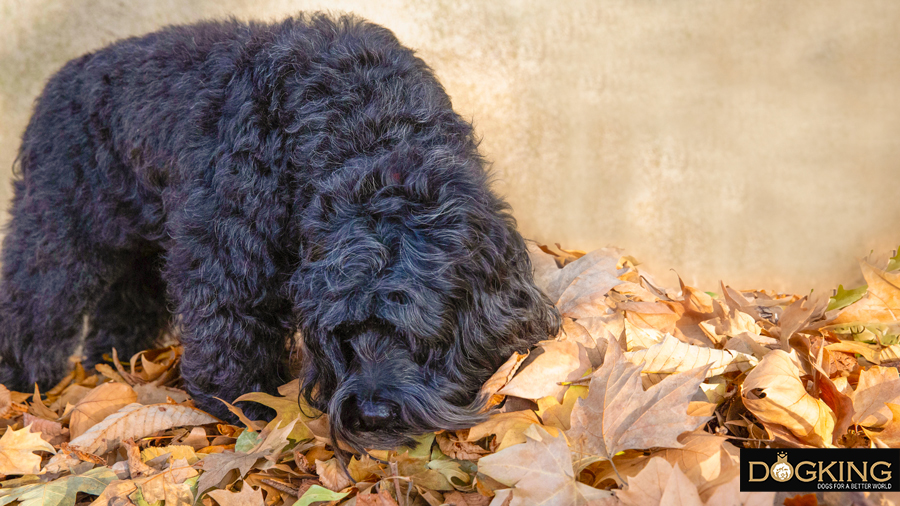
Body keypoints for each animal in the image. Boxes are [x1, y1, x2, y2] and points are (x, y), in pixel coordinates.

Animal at [0, 13, 560, 452]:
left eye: (419, 335)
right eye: (344, 334)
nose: (373, 413)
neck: (368, 134)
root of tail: (57, 81)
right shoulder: (226, 259)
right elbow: (231, 333)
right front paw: (244, 406)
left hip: (136, 242)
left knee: (123, 309)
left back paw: (114, 366)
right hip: (58, 228)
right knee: (32, 303)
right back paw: (22, 380)